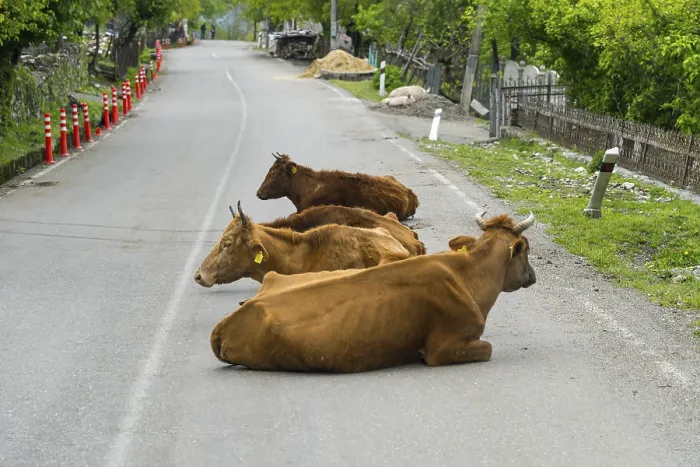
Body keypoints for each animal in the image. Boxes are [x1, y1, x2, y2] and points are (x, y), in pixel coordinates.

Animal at [209, 211, 537, 373]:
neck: (466, 275)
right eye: (526, 250)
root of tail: (226, 323)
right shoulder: (445, 347)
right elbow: (488, 348)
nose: (532, 275)